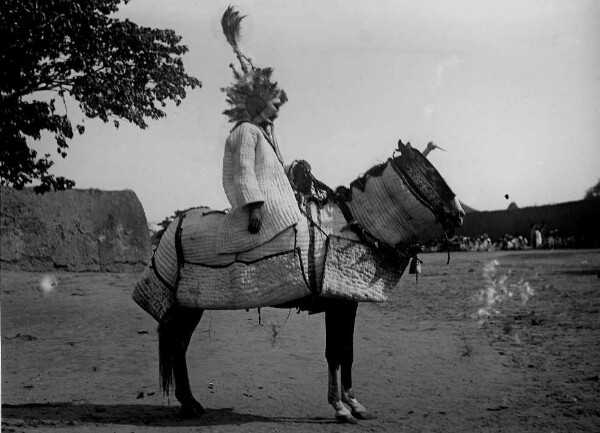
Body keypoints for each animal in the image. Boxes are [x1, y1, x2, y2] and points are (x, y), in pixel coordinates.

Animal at [134, 141, 466, 422]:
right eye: (430, 172)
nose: (460, 214)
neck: (354, 225)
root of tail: (175, 225)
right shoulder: (337, 303)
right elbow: (335, 352)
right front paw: (340, 407)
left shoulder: (348, 303)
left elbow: (347, 351)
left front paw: (354, 403)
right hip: (189, 306)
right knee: (178, 344)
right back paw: (189, 404)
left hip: (189, 307)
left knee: (179, 345)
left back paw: (189, 403)